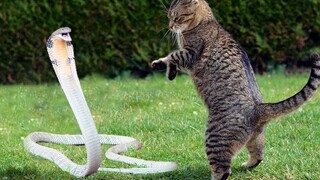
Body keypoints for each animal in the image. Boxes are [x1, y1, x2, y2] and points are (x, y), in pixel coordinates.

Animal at [152, 0, 320, 179]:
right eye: (169, 17)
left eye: (177, 17)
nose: (170, 26)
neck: (205, 22)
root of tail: (258, 108)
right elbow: (171, 61)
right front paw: (169, 72)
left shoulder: (190, 54)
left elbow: (172, 56)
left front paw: (160, 64)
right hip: (256, 139)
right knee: (259, 155)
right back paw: (247, 165)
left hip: (214, 138)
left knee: (223, 170)